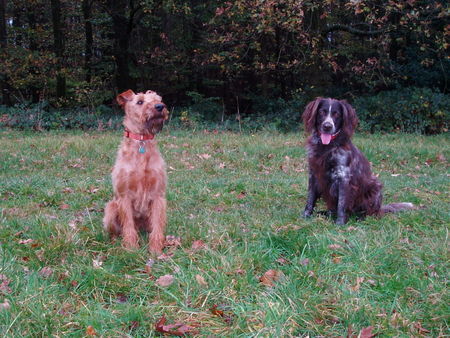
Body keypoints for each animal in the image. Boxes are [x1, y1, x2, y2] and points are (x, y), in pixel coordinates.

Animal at [103, 88, 170, 252]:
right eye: (140, 101)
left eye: (158, 99)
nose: (160, 106)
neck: (142, 141)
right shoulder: (124, 196)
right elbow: (128, 225)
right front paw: (131, 248)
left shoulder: (158, 195)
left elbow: (157, 226)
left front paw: (155, 249)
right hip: (110, 209)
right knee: (116, 230)